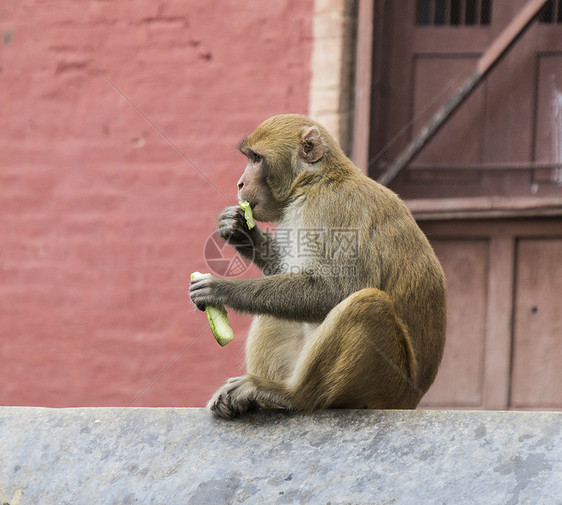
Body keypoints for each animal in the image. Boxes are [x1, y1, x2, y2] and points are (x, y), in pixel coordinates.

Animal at [190, 114, 444, 418]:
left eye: (256, 159)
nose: (239, 183)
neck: (314, 180)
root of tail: (410, 400)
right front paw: (241, 231)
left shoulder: (326, 210)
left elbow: (337, 290)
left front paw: (222, 289)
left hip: (388, 386)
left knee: (367, 304)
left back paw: (291, 395)